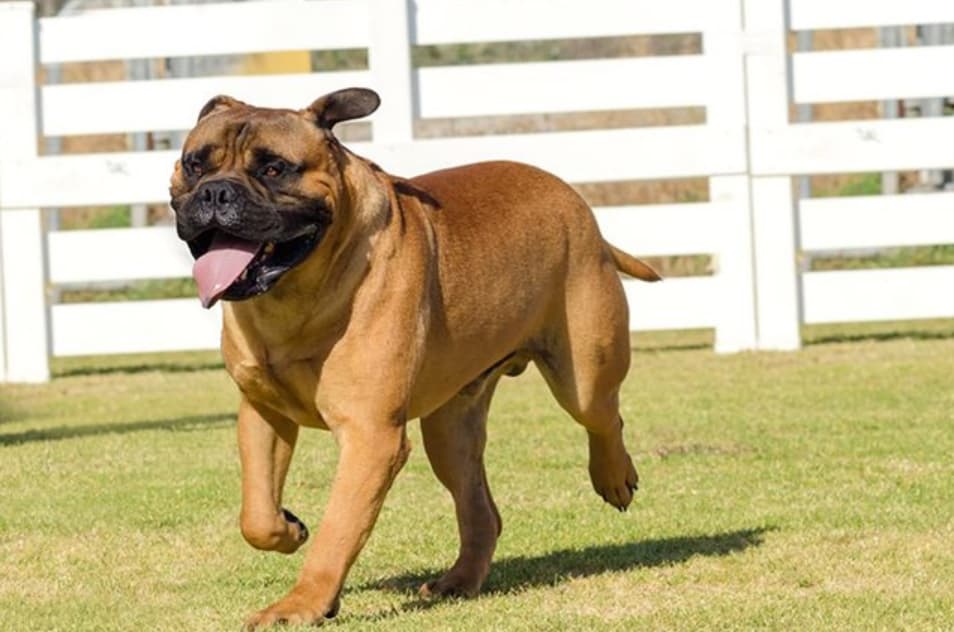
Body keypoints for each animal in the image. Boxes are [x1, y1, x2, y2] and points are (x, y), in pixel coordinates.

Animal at [167, 87, 660, 628]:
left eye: (275, 168)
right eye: (195, 164)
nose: (215, 193)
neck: (294, 298)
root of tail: (577, 204)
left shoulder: (370, 437)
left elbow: (338, 530)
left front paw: (301, 605)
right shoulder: (263, 413)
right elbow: (256, 514)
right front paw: (290, 529)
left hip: (585, 374)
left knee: (604, 417)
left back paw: (615, 478)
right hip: (450, 429)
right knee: (481, 510)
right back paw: (457, 582)